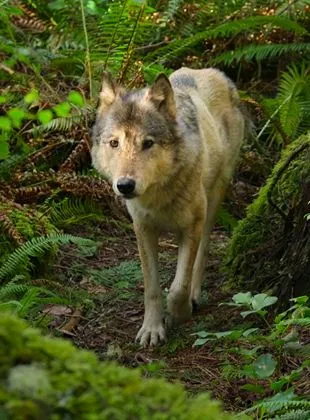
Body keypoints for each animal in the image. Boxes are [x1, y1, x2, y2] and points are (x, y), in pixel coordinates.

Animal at [91, 67, 246, 346]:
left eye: (148, 143)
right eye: (114, 143)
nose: (125, 186)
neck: (158, 195)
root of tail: (213, 71)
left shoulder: (192, 225)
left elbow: (177, 287)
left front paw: (179, 314)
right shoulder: (143, 228)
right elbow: (152, 288)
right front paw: (152, 329)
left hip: (214, 199)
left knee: (202, 252)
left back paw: (195, 295)